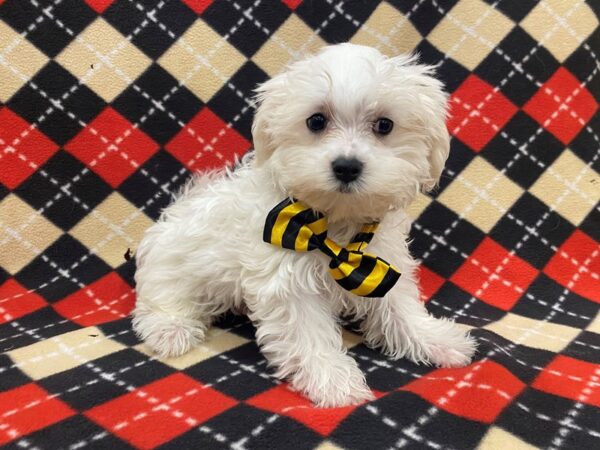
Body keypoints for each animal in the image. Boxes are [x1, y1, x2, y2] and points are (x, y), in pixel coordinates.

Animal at [134, 44, 476, 408]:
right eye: (316, 121)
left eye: (384, 125)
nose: (346, 166)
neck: (334, 226)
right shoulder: (285, 281)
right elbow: (308, 332)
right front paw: (334, 380)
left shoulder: (380, 261)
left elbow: (399, 305)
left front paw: (435, 339)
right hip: (172, 269)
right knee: (160, 299)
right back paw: (171, 329)